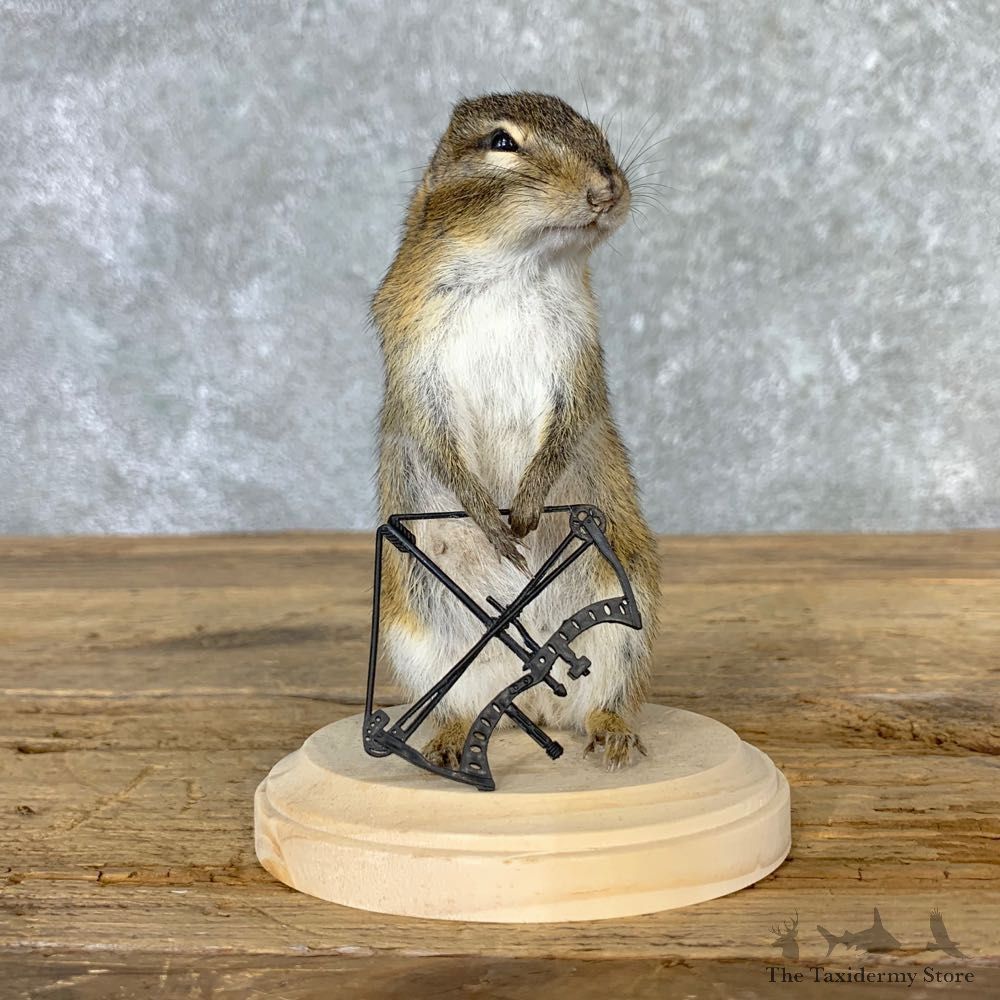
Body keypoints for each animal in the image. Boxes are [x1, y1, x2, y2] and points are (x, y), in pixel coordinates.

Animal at [372, 92, 659, 771]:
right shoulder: (415, 363)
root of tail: (532, 697)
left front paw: (525, 507)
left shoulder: (577, 358)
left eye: (591, 127)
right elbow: (435, 440)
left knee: (600, 699)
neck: (513, 268)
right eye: (502, 143)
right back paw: (448, 742)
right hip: (416, 640)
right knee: (454, 705)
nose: (608, 187)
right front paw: (490, 520)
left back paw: (612, 733)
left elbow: (567, 427)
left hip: (625, 622)